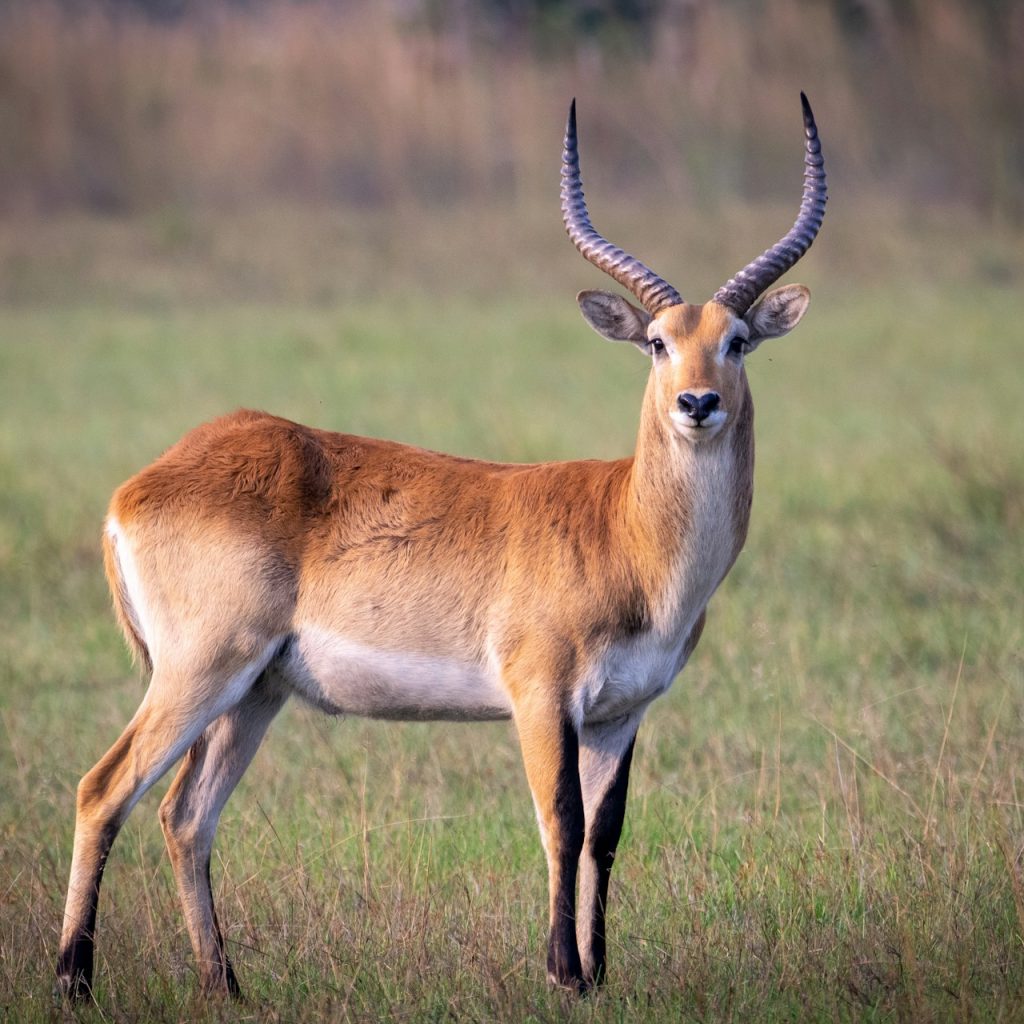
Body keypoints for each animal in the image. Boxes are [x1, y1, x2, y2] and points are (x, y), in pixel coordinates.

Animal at [57, 94, 827, 1000]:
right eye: (657, 342)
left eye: (737, 340)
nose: (698, 403)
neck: (626, 532)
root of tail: (144, 482)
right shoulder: (541, 696)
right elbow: (560, 823)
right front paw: (563, 974)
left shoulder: (621, 713)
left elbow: (605, 835)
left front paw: (600, 976)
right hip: (201, 670)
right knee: (104, 790)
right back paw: (74, 981)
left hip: (254, 691)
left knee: (185, 815)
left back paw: (226, 986)